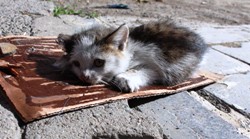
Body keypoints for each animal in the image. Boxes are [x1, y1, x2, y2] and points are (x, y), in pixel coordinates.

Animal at [54, 20, 207, 92]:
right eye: (76, 63)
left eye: (98, 62)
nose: (84, 76)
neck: (131, 51)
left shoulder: (163, 66)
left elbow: (150, 70)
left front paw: (125, 79)